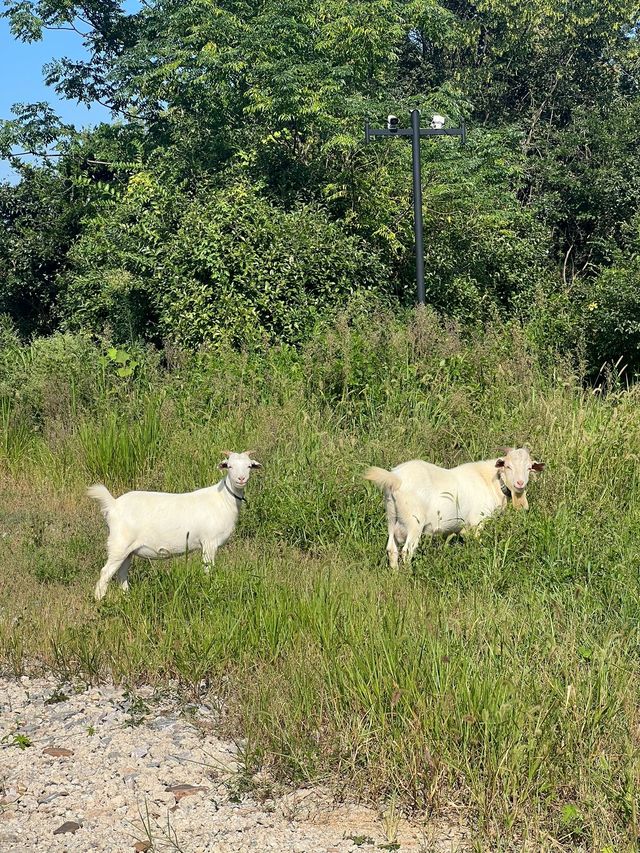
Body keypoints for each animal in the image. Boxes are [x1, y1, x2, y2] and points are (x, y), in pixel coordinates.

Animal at [89, 446, 262, 600]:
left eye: (249, 466)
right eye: (229, 466)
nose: (241, 479)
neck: (223, 499)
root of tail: (113, 504)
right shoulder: (209, 542)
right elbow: (208, 569)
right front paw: (209, 589)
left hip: (128, 550)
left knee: (122, 574)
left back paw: (127, 598)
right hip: (119, 544)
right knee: (105, 573)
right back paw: (99, 600)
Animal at [364, 446, 544, 564]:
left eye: (529, 468)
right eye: (508, 466)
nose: (520, 483)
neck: (491, 481)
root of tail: (396, 478)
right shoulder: (477, 523)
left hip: (391, 518)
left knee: (392, 549)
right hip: (414, 522)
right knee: (407, 551)